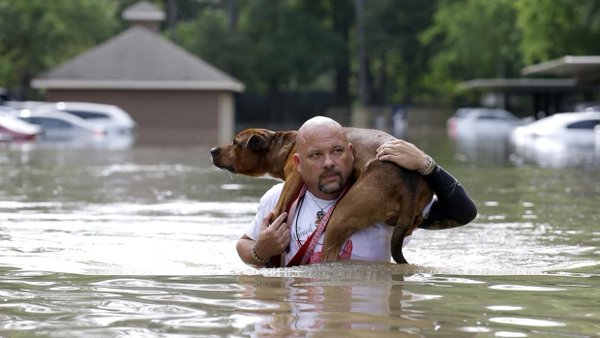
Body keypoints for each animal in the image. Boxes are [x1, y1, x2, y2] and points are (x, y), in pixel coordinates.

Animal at [211, 127, 432, 264]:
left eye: (235, 142)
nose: (213, 150)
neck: (284, 145)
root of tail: (408, 184)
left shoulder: (294, 176)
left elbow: (279, 207)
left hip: (341, 217)